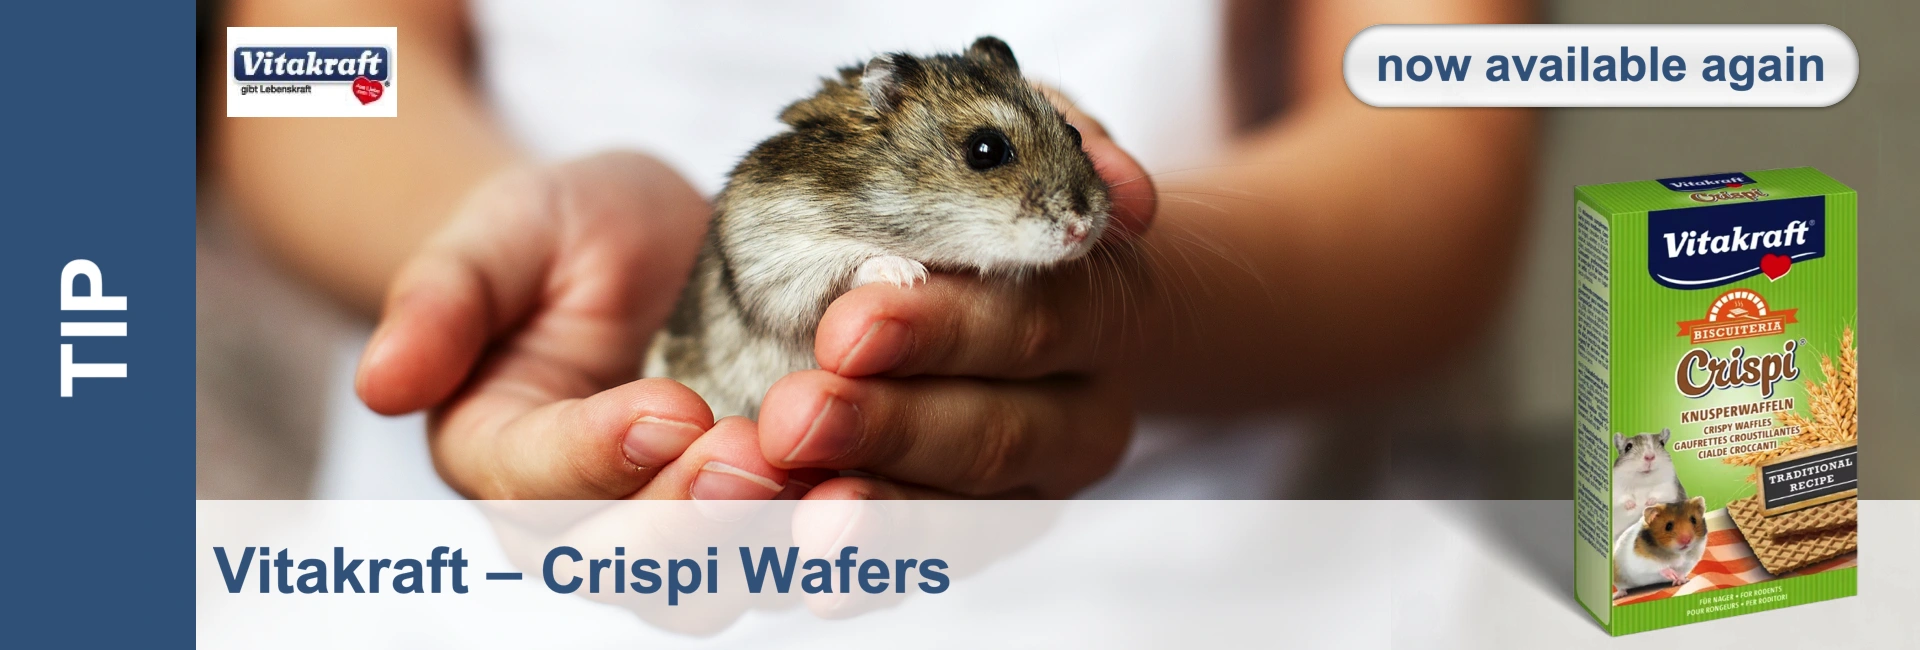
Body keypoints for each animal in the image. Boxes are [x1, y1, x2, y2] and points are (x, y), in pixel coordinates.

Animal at [645, 36, 1111, 418]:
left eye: (1075, 133)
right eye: (986, 149)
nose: (1082, 229)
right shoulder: (775, 263)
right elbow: (843, 274)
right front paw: (908, 274)